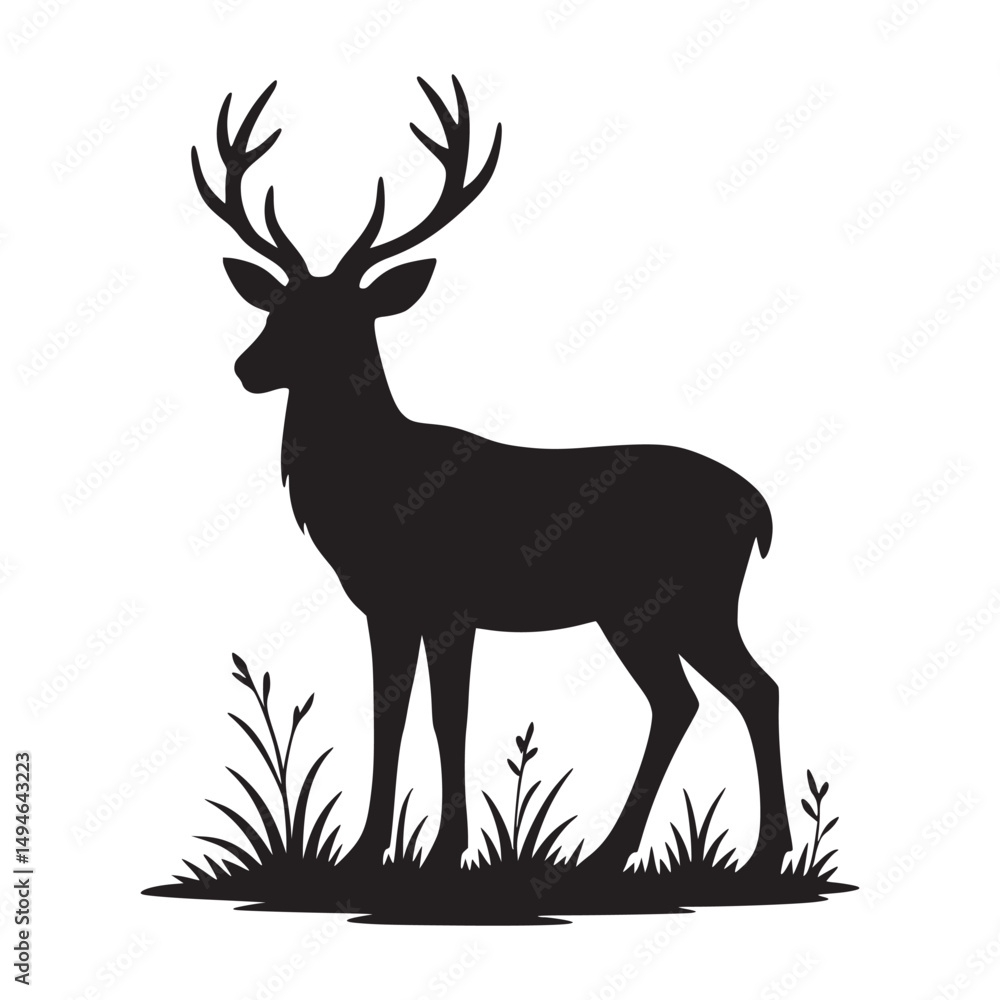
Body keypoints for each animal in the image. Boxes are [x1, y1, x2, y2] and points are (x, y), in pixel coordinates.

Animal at [192, 77, 791, 874]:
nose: (245, 367)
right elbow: (389, 712)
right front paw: (368, 850)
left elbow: (449, 716)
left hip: (685, 598)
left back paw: (753, 855)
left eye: (343, 317)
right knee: (686, 701)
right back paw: (617, 853)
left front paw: (446, 851)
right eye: (278, 308)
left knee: (749, 690)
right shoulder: (385, 605)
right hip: (639, 610)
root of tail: (760, 510)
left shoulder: (450, 600)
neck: (377, 489)